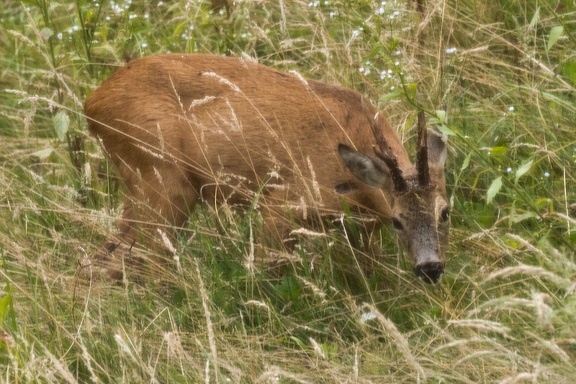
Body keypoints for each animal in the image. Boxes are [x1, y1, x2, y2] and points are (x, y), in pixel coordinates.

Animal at [84, 53, 450, 282]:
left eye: (445, 212)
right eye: (397, 220)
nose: (430, 268)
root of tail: (92, 103)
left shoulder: (361, 229)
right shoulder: (283, 203)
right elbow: (266, 265)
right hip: (160, 177)